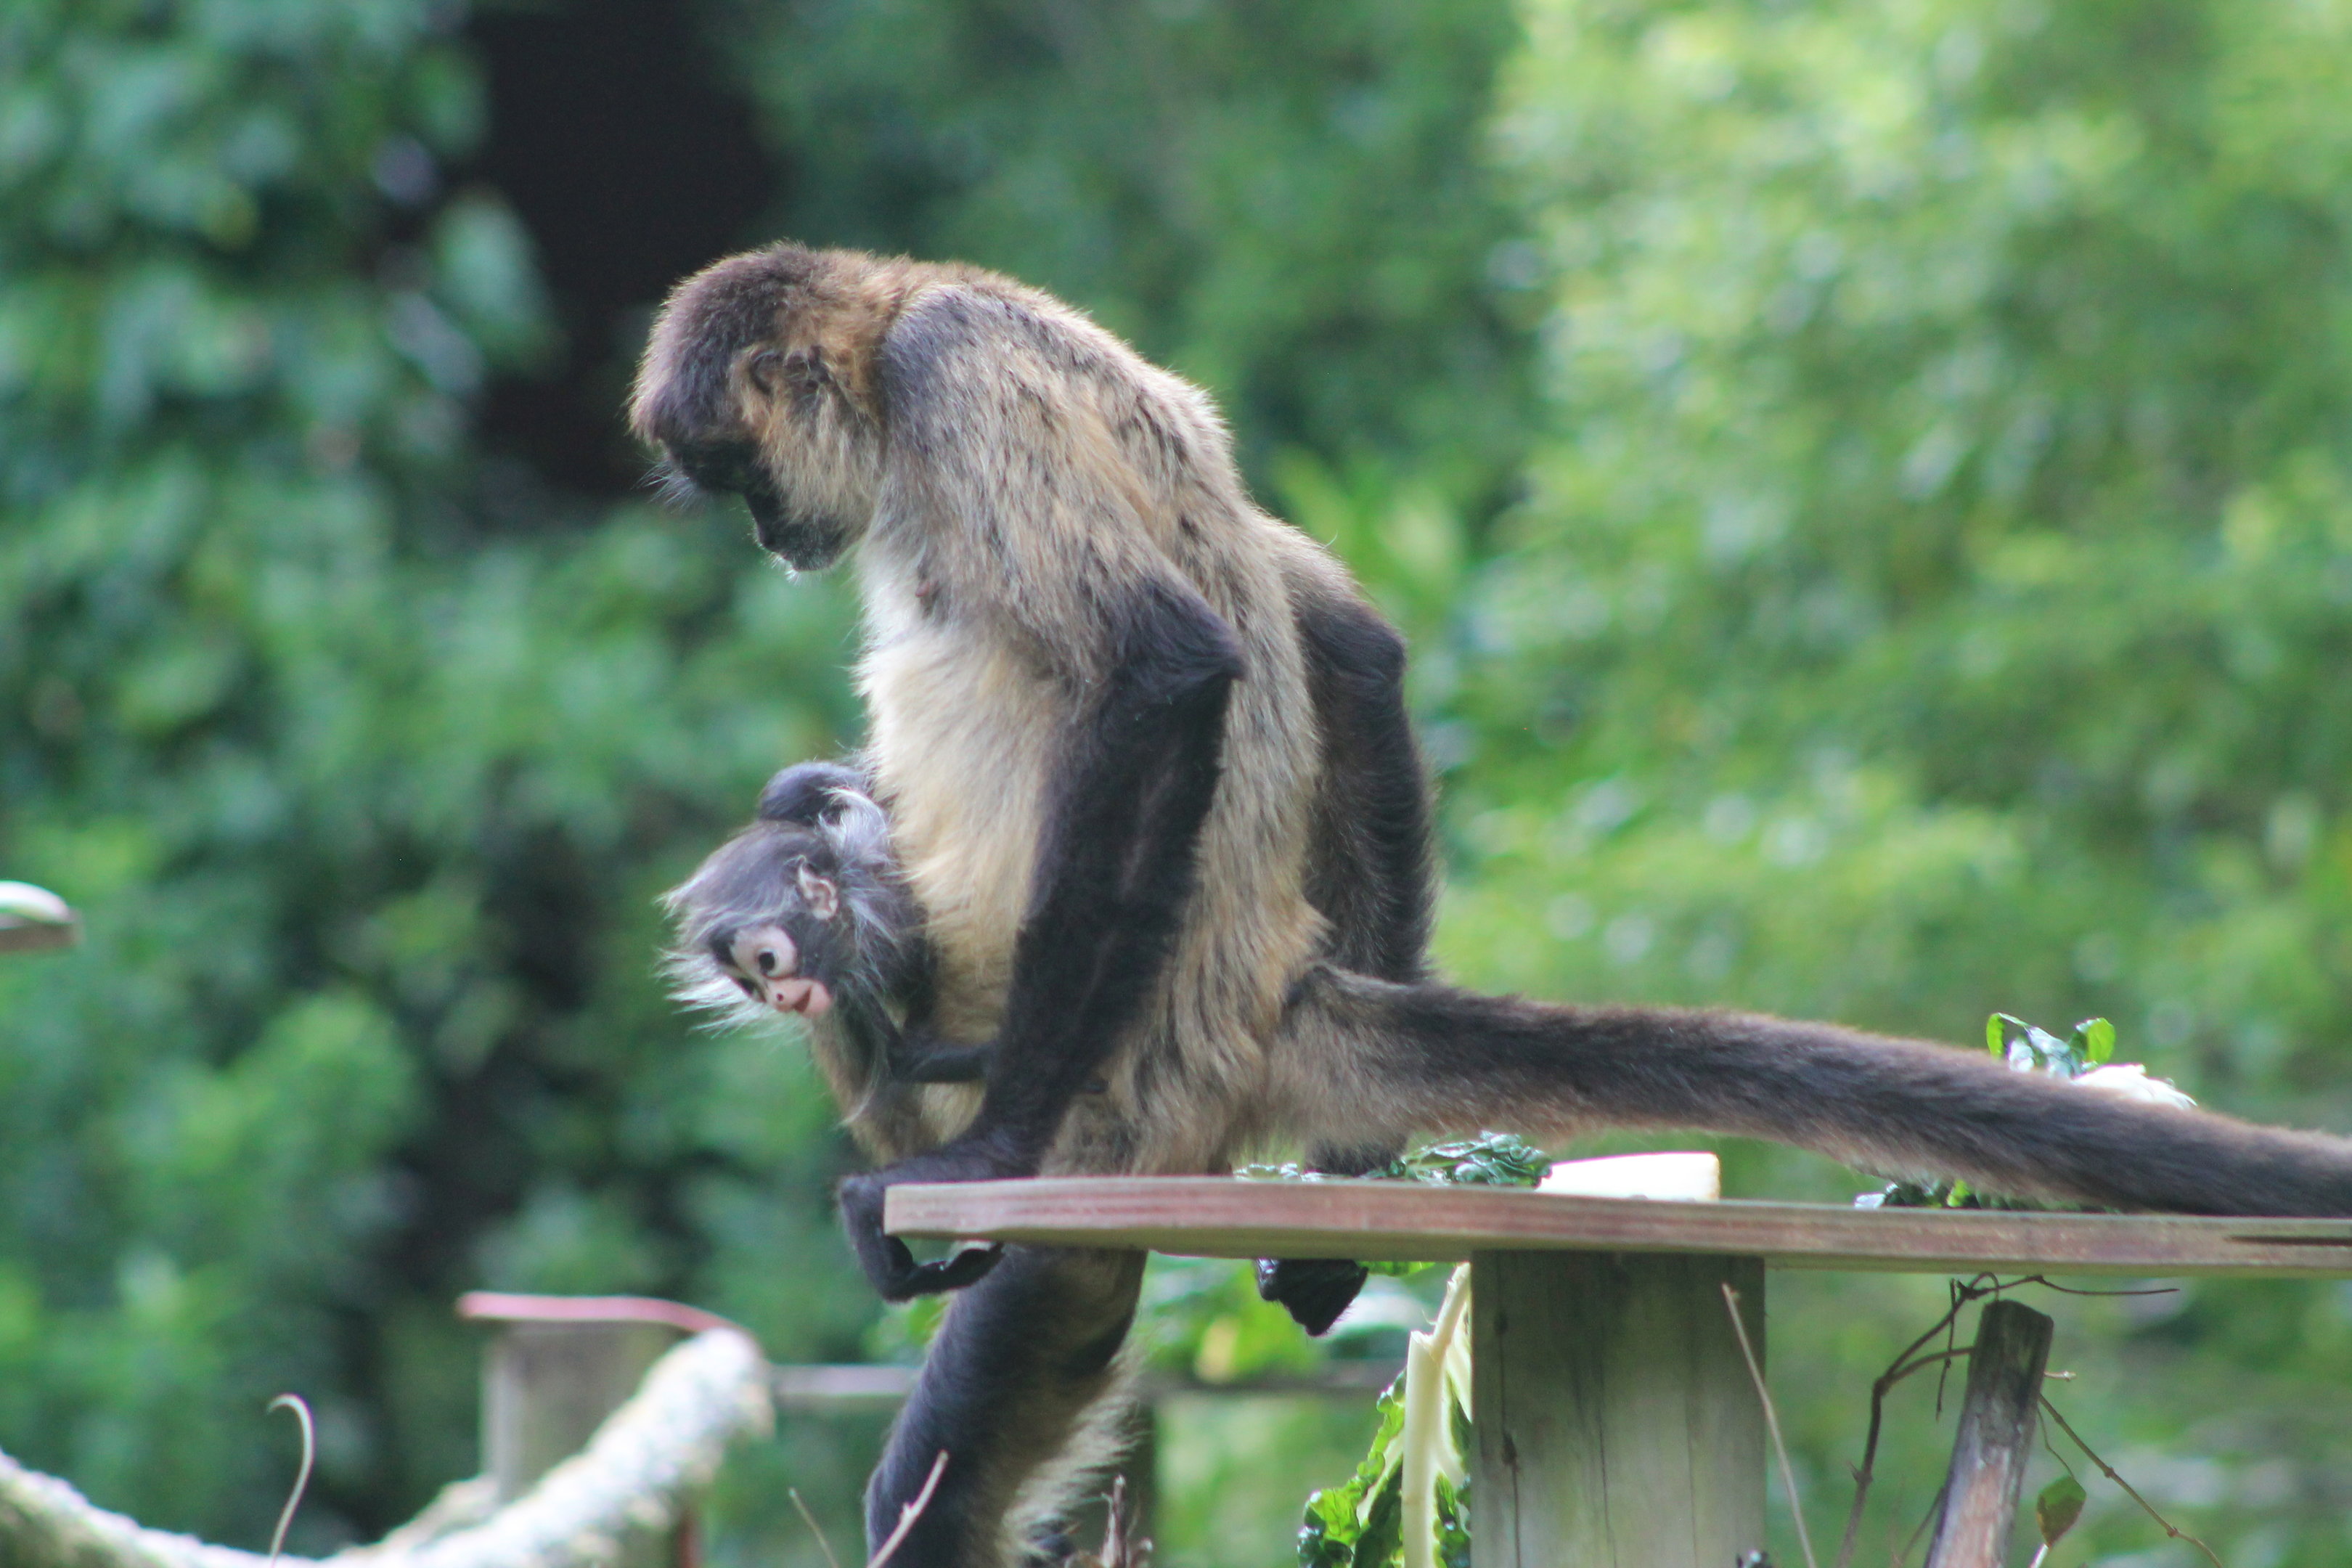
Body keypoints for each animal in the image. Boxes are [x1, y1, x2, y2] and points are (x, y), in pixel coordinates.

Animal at [631, 243, 2352, 1567]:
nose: (772, 539)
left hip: (1113, 1112)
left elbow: (1168, 672)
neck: (912, 303)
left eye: (741, 477)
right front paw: (1358, 1176)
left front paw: (975, 1153)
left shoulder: (957, 373)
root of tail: (1264, 996)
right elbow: (1344, 635)